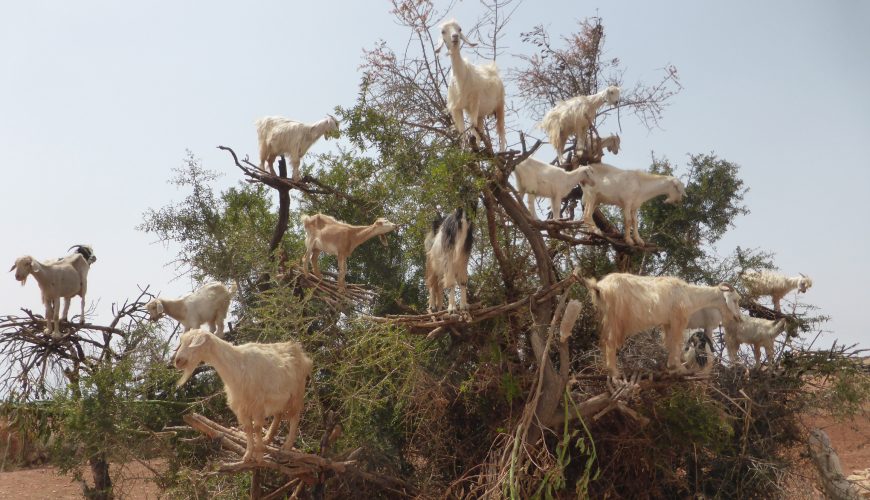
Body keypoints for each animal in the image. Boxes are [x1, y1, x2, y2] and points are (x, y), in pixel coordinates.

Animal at [174, 329, 312, 462]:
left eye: (192, 342)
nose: (177, 361)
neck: (236, 363)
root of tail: (298, 350)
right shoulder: (241, 406)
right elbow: (248, 429)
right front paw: (247, 455)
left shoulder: (257, 403)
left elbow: (257, 428)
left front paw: (259, 455)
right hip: (279, 397)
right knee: (278, 414)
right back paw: (268, 438)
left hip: (297, 392)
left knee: (295, 417)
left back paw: (287, 446)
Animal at [435, 19, 506, 152]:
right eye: (443, 31)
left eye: (459, 29)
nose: (455, 37)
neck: (461, 77)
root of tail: (494, 70)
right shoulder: (457, 108)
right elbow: (463, 133)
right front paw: (464, 152)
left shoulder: (474, 103)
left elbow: (472, 128)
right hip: (481, 114)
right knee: (480, 132)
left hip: (500, 105)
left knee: (501, 132)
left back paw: (500, 152)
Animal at [584, 273, 742, 377]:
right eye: (735, 300)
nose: (738, 318)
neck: (689, 294)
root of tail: (600, 287)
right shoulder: (678, 320)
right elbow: (677, 343)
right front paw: (679, 368)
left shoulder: (667, 323)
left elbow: (669, 343)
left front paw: (670, 367)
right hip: (615, 318)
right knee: (610, 342)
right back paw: (614, 373)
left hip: (605, 317)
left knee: (603, 340)